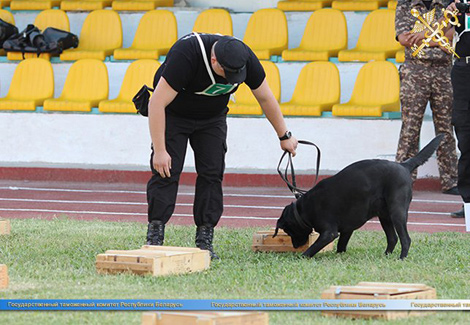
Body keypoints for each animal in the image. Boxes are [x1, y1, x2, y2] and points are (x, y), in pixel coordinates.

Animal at [274, 134, 442, 258]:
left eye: (288, 231)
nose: (295, 246)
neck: (303, 210)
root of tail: (404, 165)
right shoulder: (347, 230)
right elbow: (341, 246)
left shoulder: (329, 233)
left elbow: (311, 250)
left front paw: (302, 255)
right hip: (384, 215)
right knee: (393, 238)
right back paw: (386, 256)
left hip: (397, 211)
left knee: (405, 239)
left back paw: (402, 258)